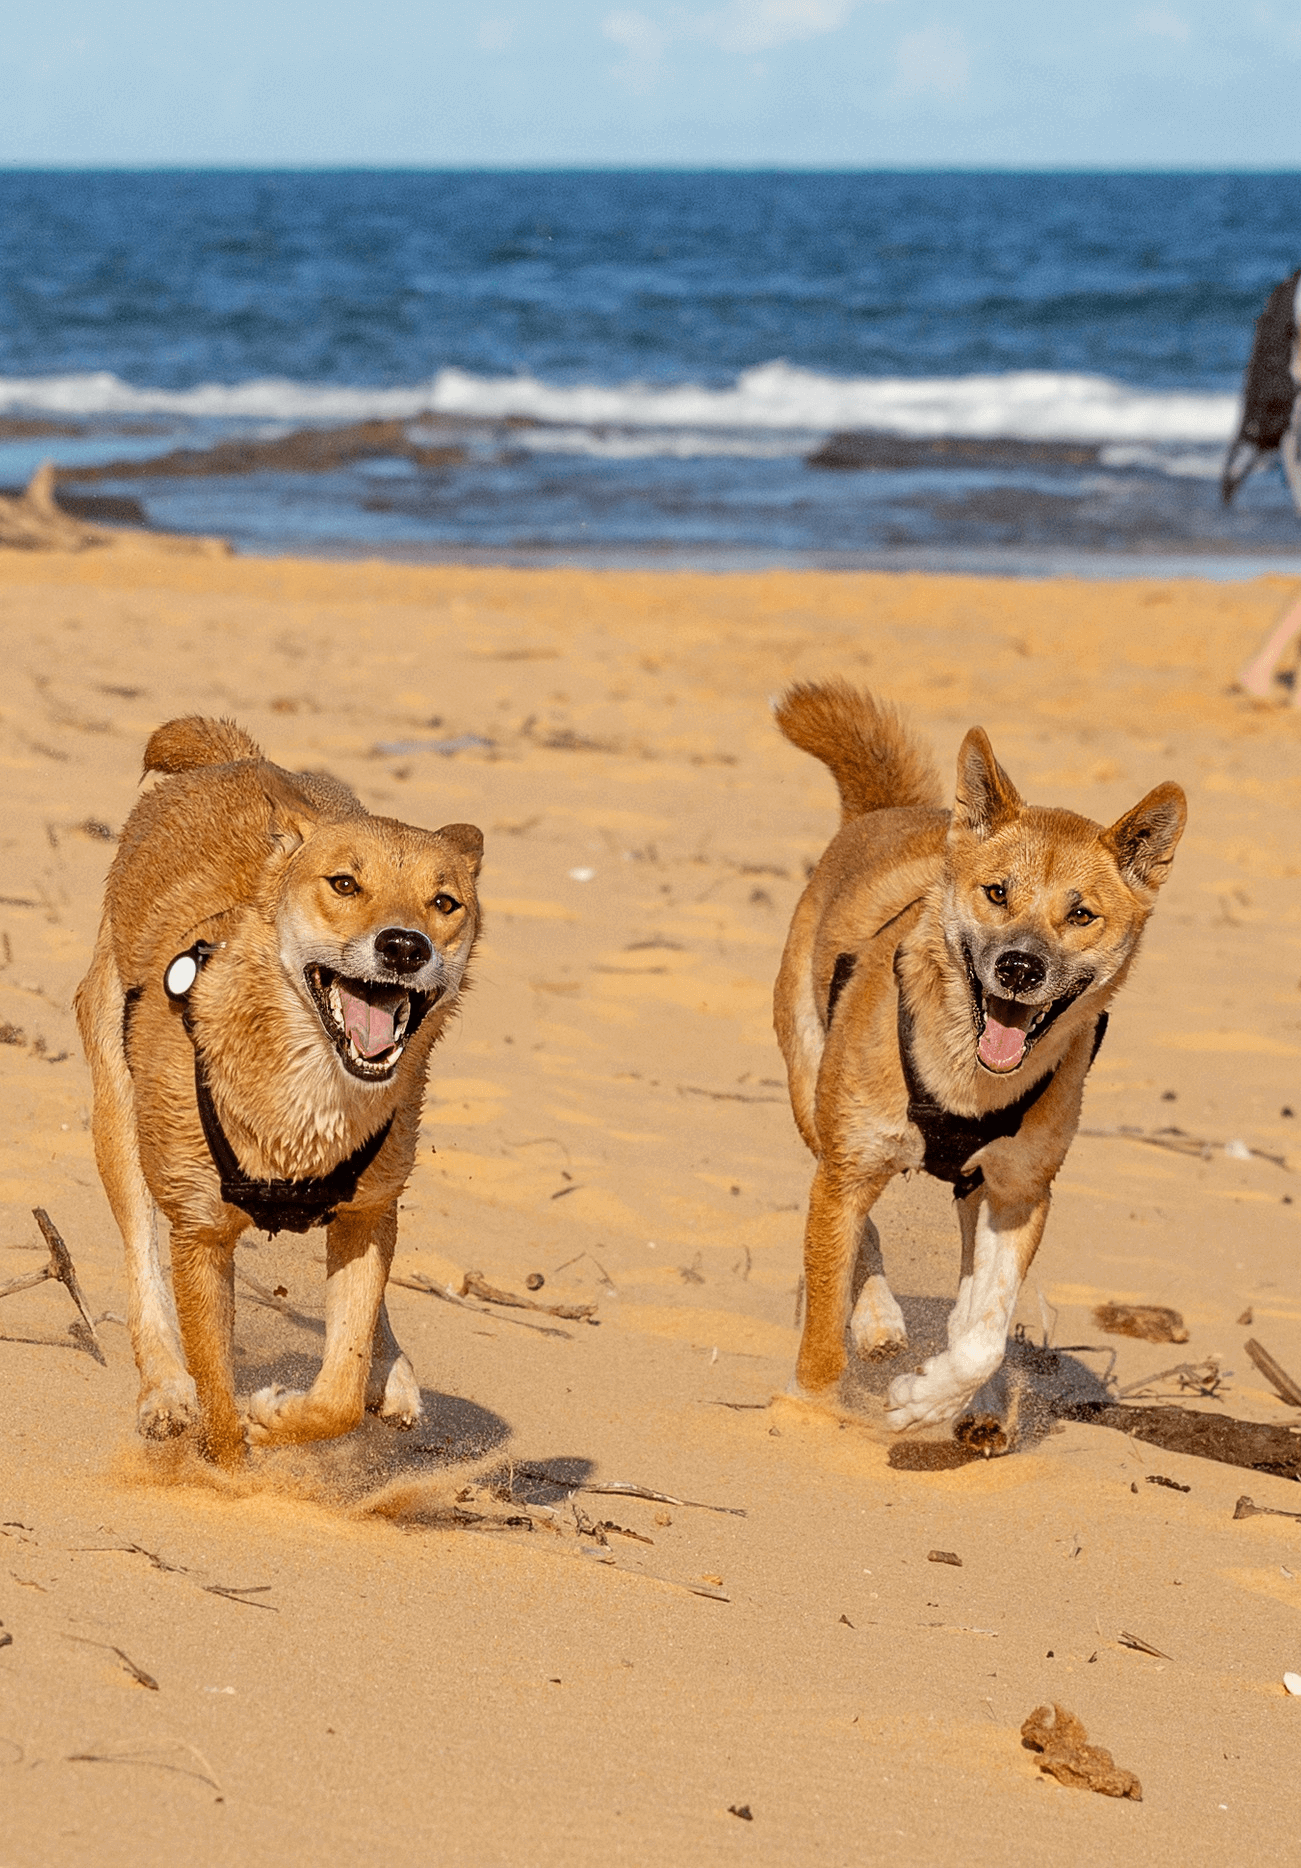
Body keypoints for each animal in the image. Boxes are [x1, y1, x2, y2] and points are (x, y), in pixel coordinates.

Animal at [76, 721, 482, 1464]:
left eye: (444, 904)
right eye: (344, 883)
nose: (404, 947)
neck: (310, 1088)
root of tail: (237, 759)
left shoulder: (363, 1215)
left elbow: (339, 1390)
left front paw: (285, 1417)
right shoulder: (200, 1234)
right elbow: (217, 1401)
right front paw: (230, 1470)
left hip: (379, 1191)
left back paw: (392, 1372)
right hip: (119, 1116)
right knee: (142, 1265)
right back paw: (164, 1392)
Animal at [773, 687, 1188, 1427]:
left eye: (1080, 915)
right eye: (997, 892)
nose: (1019, 967)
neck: (968, 1081)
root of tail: (882, 813)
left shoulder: (1020, 1192)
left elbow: (984, 1333)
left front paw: (928, 1398)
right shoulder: (846, 1171)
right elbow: (823, 1331)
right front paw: (812, 1414)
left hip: (972, 1188)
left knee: (970, 1294)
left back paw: (977, 1406)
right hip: (814, 1105)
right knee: (859, 1231)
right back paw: (877, 1321)